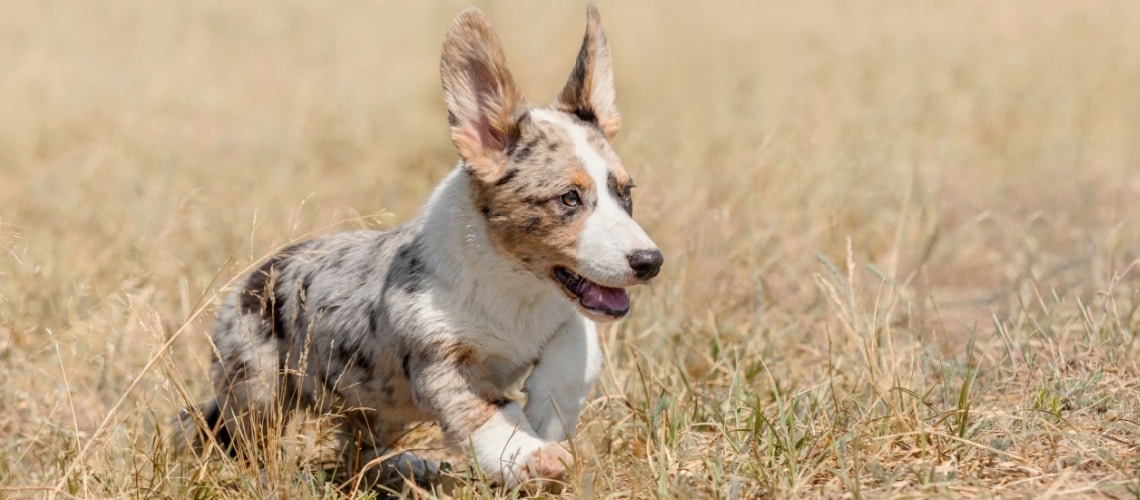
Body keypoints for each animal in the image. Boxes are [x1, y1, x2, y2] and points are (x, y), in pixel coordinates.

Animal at [173, 2, 665, 489]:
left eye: (626, 193)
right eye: (568, 198)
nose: (650, 262)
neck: (513, 286)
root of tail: (247, 282)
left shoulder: (565, 318)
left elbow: (576, 353)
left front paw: (548, 418)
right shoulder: (443, 363)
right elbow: (490, 412)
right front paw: (534, 455)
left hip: (377, 408)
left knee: (357, 451)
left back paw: (410, 467)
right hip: (258, 390)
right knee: (247, 443)